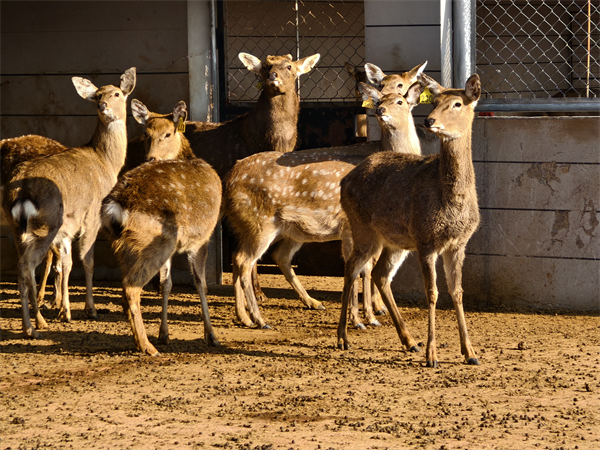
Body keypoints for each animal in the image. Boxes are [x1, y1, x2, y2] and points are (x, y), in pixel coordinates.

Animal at [4, 67, 137, 338]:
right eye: (97, 96)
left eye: (117, 93)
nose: (103, 106)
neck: (106, 163)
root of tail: (21, 192)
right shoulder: (93, 216)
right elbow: (86, 260)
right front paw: (89, 309)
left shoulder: (68, 227)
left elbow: (66, 263)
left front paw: (64, 310)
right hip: (46, 224)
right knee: (26, 266)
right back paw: (34, 326)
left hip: (16, 226)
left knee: (24, 267)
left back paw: (34, 322)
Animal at [102, 100, 221, 356]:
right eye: (146, 134)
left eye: (167, 134)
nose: (150, 158)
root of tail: (115, 207)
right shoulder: (202, 238)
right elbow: (201, 284)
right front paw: (211, 336)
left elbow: (166, 283)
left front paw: (164, 334)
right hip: (155, 242)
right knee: (131, 287)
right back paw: (147, 346)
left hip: (124, 245)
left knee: (127, 288)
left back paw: (142, 341)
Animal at [223, 79, 424, 328]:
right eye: (379, 101)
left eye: (400, 101)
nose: (381, 111)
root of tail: (229, 178)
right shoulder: (351, 228)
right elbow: (362, 268)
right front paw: (363, 318)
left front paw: (368, 314)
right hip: (259, 222)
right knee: (245, 260)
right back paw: (259, 318)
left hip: (276, 228)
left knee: (264, 257)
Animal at [338, 74, 482, 370]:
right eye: (435, 101)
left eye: (458, 103)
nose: (429, 121)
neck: (452, 201)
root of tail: (344, 181)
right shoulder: (426, 240)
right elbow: (433, 293)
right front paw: (432, 356)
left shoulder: (458, 244)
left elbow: (458, 291)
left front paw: (470, 353)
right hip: (363, 229)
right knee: (351, 268)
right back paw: (343, 338)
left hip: (395, 242)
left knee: (380, 274)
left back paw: (409, 341)